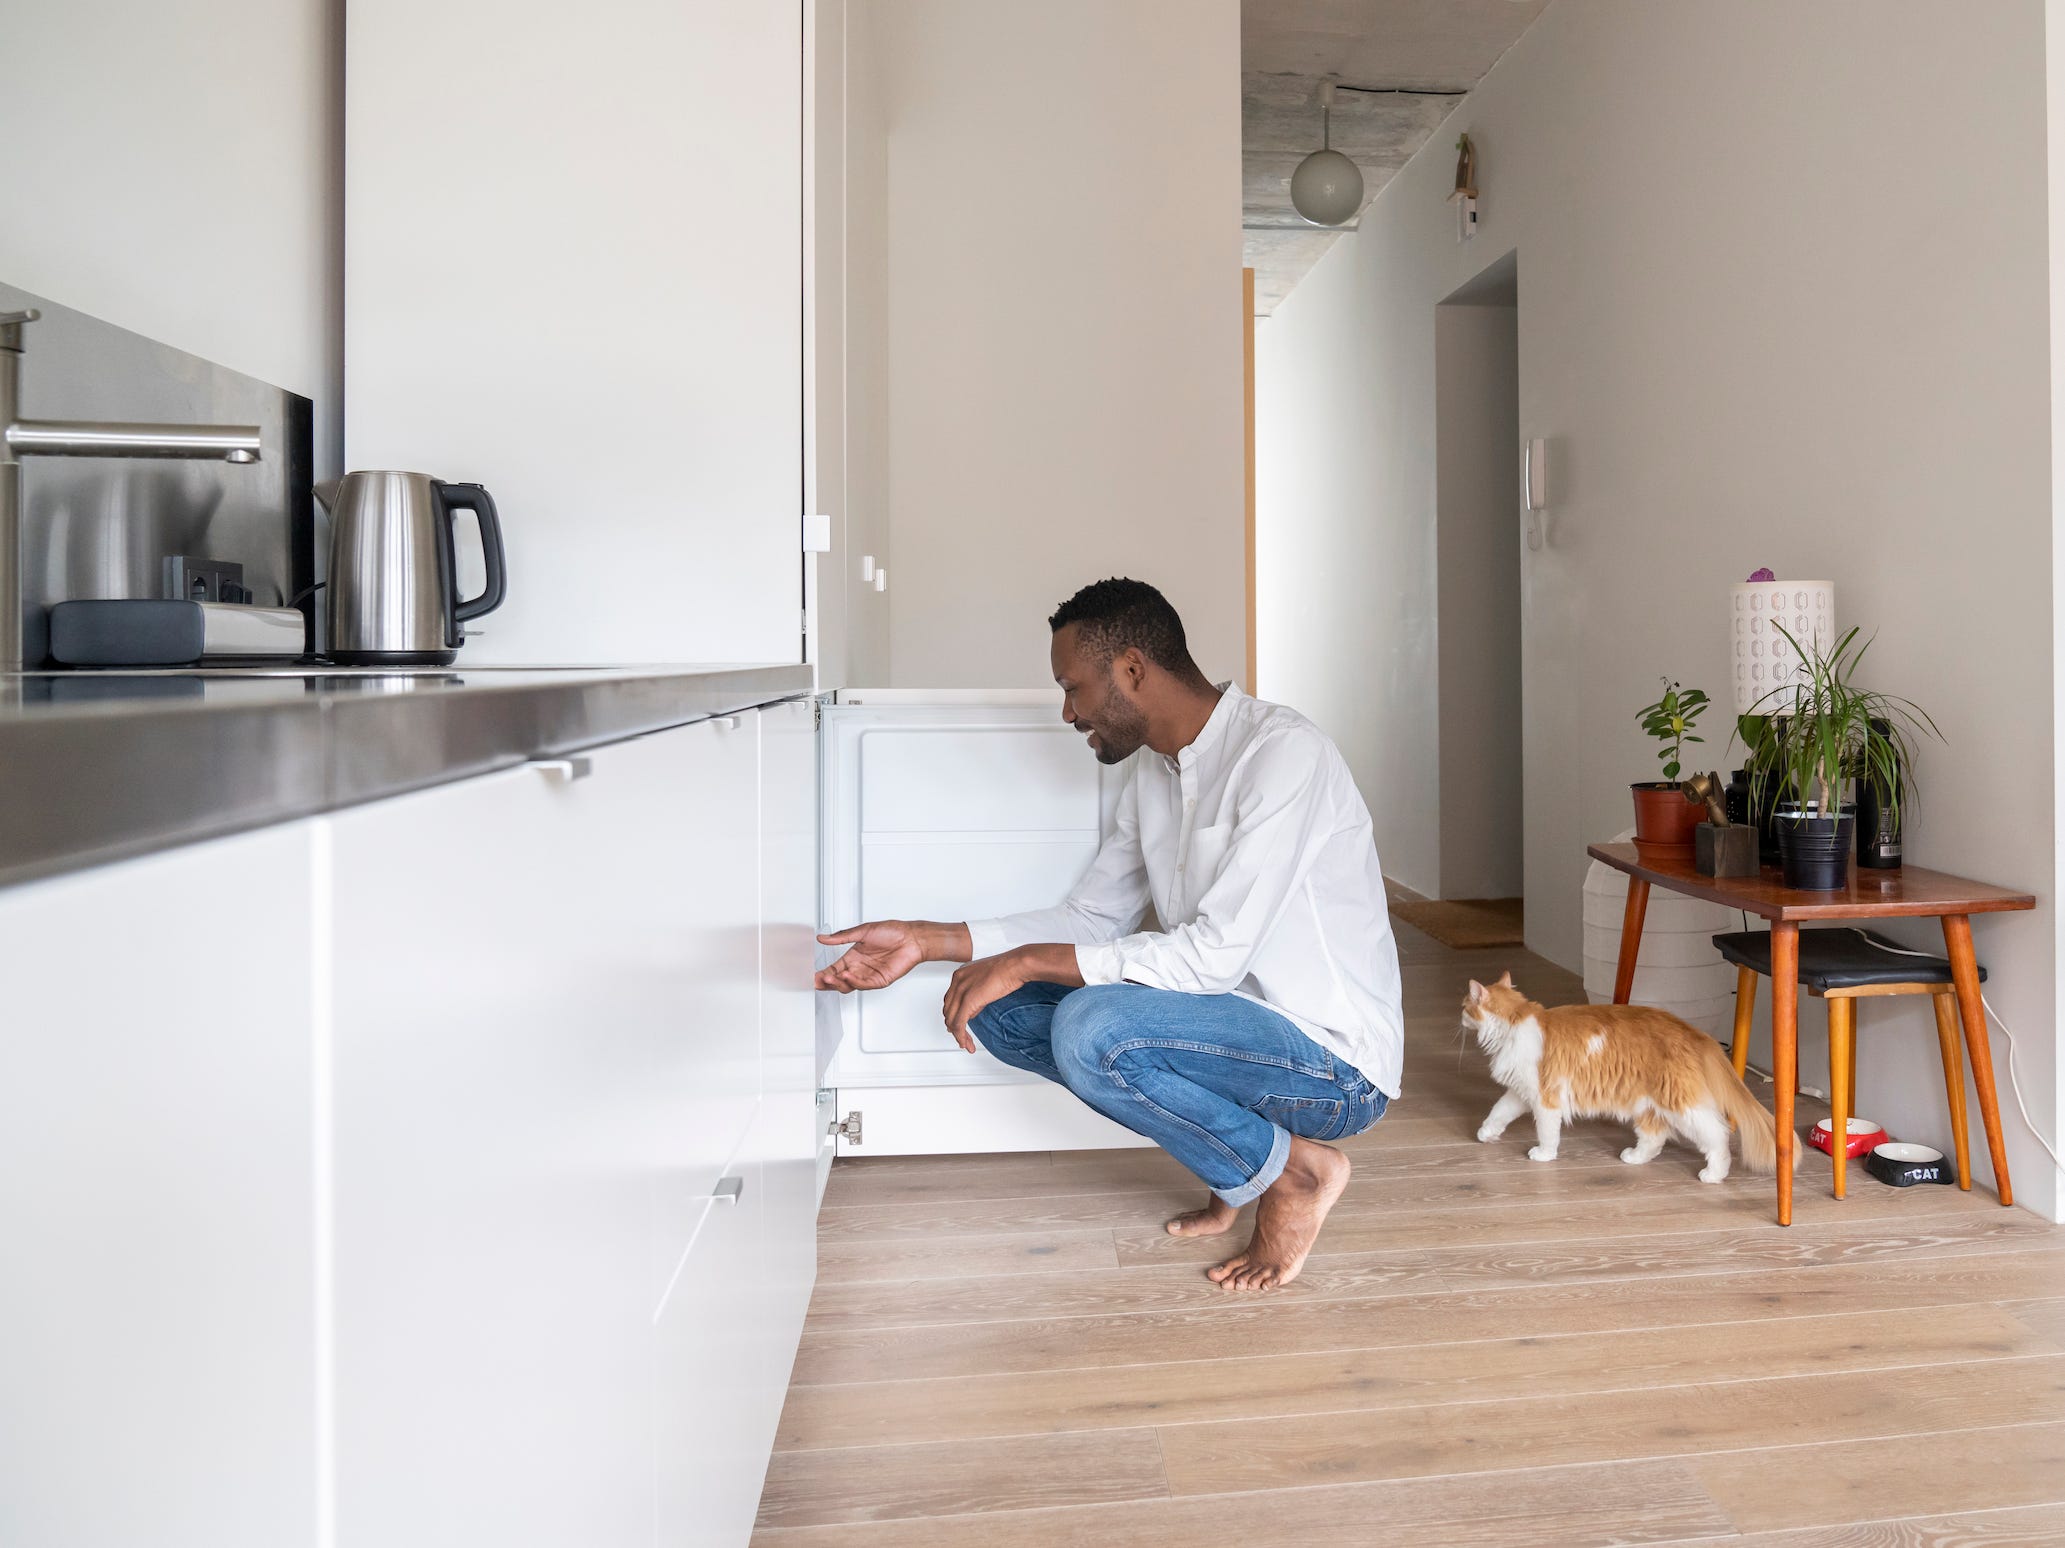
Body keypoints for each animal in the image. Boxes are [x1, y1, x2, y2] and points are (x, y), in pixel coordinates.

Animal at [1453, 974, 1792, 1180]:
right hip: (1646, 1103)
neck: (1514, 1022)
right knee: (1654, 1138)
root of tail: (1695, 1032)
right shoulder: (1522, 1092)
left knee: (1717, 1135)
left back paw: (1714, 1174)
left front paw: (1544, 1155)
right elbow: (1498, 1112)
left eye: (1464, 1006)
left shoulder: (1545, 1100)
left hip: (1680, 1104)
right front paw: (1486, 1134)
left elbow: (1548, 1133)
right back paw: (1634, 1158)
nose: (1459, 1014)